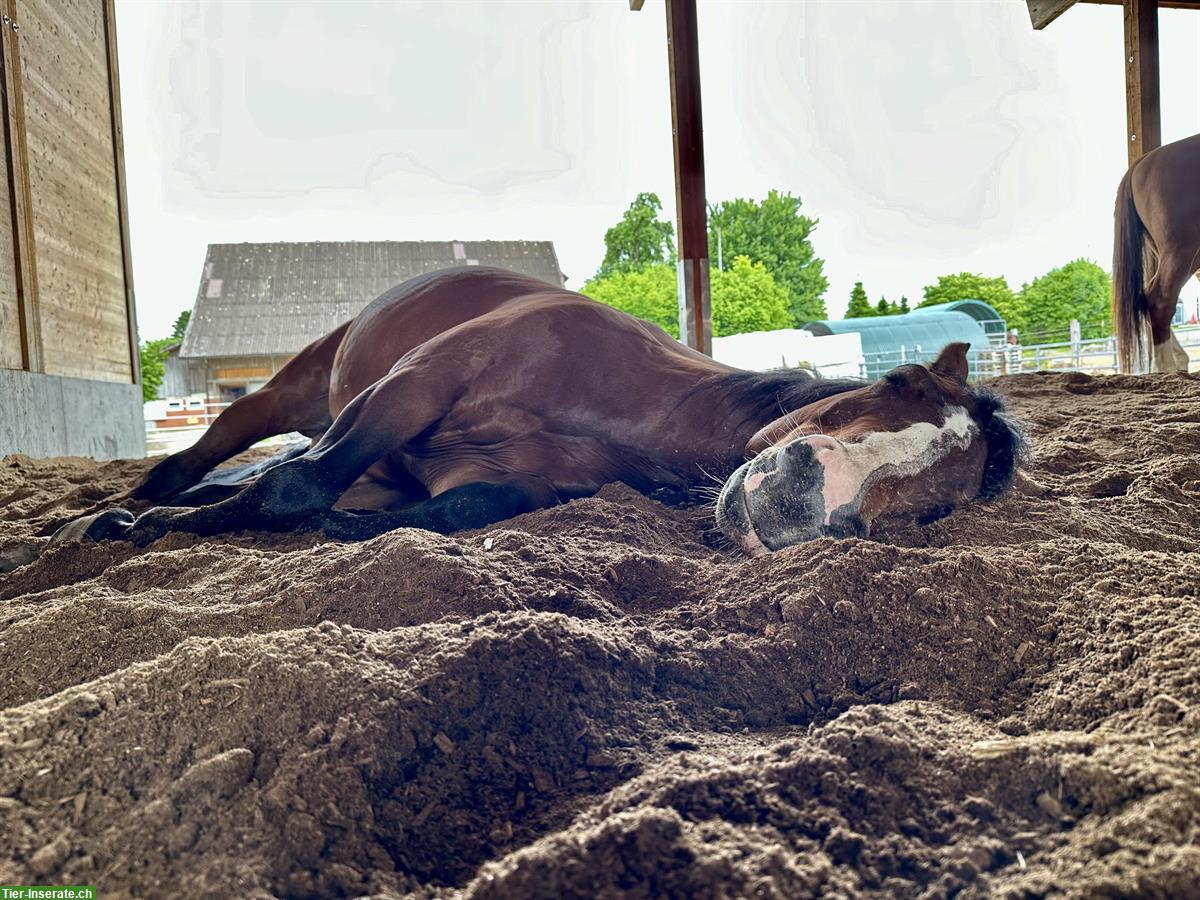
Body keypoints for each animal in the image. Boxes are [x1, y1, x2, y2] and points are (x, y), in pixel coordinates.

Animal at [46, 267, 1026, 558]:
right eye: (897, 384)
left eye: (934, 505)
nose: (801, 498)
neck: (633, 407)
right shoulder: (415, 385)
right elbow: (293, 488)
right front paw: (142, 527)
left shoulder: (504, 481)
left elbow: (457, 509)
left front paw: (356, 533)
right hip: (299, 389)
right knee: (219, 452)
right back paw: (118, 515)